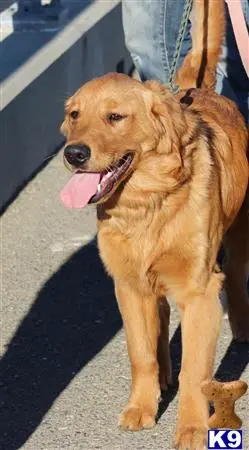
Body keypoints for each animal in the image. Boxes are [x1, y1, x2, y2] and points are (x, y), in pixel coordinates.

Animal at [60, 0, 249, 446]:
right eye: (74, 115)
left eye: (115, 116)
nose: (73, 153)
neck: (147, 205)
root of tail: (202, 90)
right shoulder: (128, 285)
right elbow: (141, 354)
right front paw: (141, 408)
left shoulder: (200, 291)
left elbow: (195, 372)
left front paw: (193, 428)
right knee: (160, 322)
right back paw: (162, 376)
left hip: (240, 234)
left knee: (235, 275)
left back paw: (242, 327)